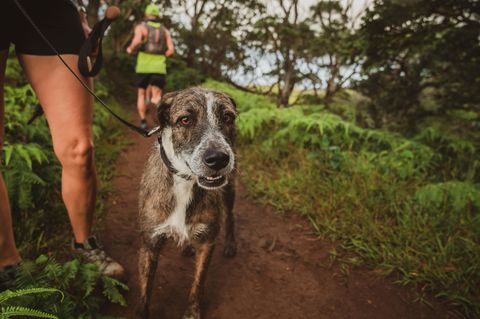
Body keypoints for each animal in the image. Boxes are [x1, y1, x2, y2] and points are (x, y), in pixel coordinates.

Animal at [136, 87, 237, 319]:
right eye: (185, 120)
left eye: (228, 117)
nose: (218, 159)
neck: (185, 181)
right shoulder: (149, 244)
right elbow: (145, 290)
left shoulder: (208, 241)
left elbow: (198, 282)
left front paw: (192, 311)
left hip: (229, 190)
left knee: (230, 216)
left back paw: (230, 244)